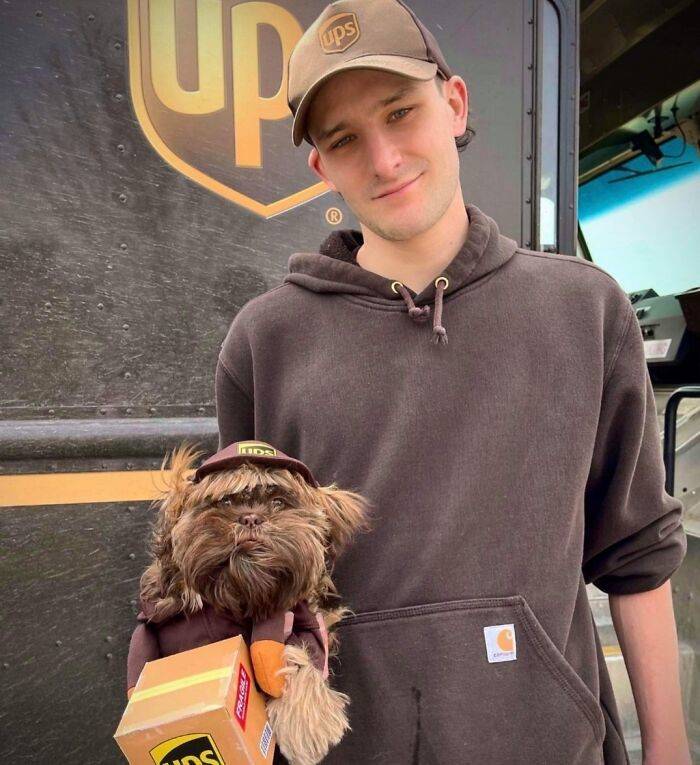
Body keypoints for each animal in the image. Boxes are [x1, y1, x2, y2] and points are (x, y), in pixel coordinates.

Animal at [128, 442, 374, 764]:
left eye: (279, 503)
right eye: (225, 501)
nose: (250, 518)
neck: (239, 597)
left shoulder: (304, 618)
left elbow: (302, 654)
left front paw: (305, 725)